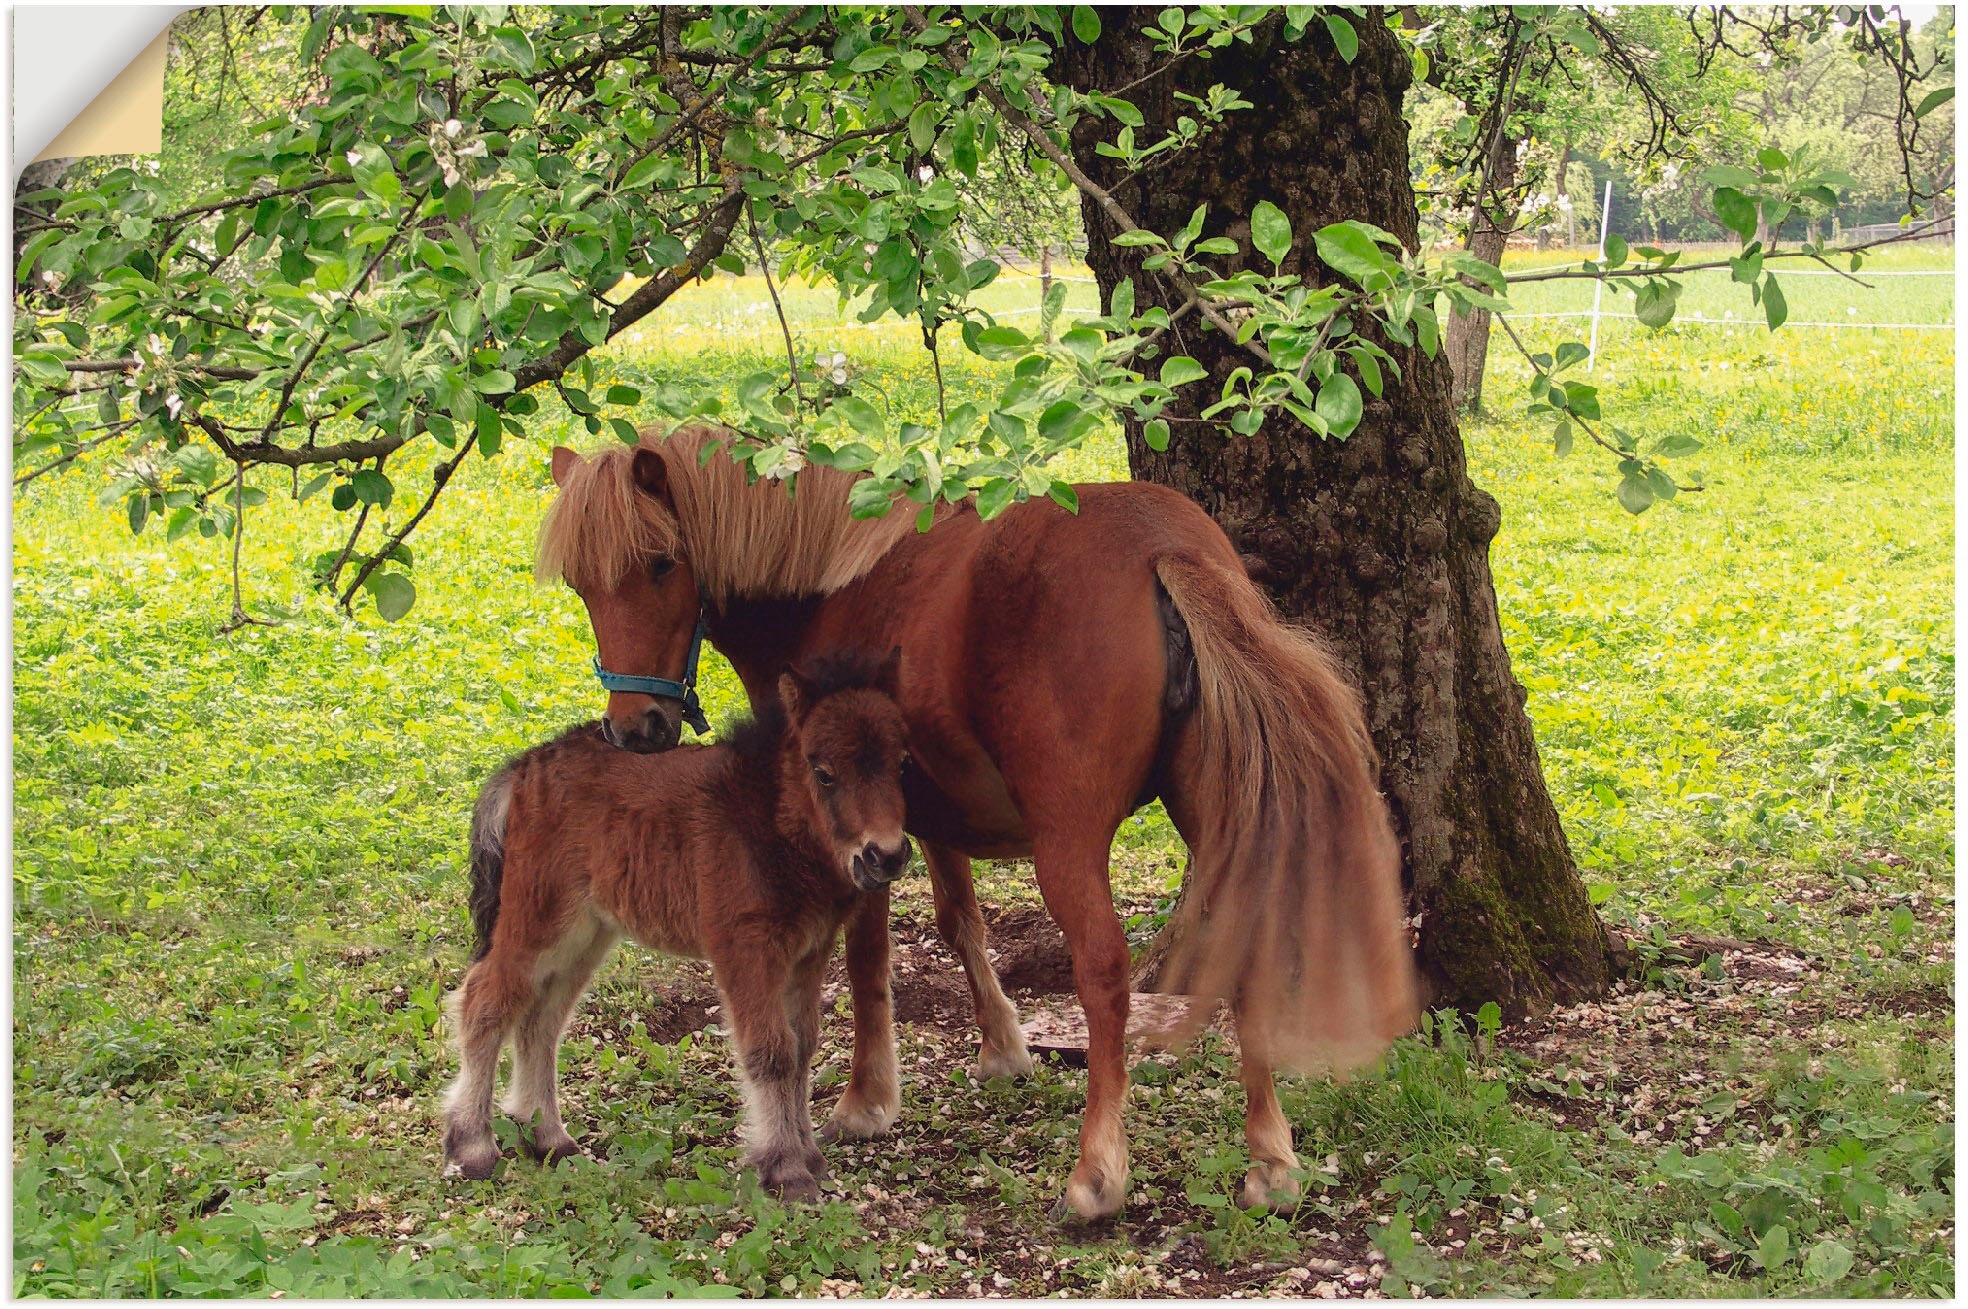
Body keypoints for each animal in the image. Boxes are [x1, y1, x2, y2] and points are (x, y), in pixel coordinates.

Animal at [442, 649, 909, 1196]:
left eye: (902, 763)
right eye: (824, 772)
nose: (885, 856)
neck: (767, 817)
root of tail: (523, 768)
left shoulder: (808, 953)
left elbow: (801, 1049)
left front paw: (809, 1158)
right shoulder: (744, 948)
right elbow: (771, 1051)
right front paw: (786, 1170)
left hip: (586, 934)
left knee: (542, 1019)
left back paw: (549, 1139)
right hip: (539, 920)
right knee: (486, 1001)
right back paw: (472, 1146)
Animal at [539, 427, 1424, 1212]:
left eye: (661, 563)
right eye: (582, 583)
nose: (635, 730)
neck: (827, 585)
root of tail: (1164, 548)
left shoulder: (853, 831)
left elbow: (868, 957)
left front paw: (867, 1097)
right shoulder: (926, 816)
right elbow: (958, 916)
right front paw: (1003, 1044)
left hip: (1069, 844)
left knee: (1103, 971)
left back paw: (1097, 1173)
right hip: (1217, 818)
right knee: (1243, 946)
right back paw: (1271, 1160)